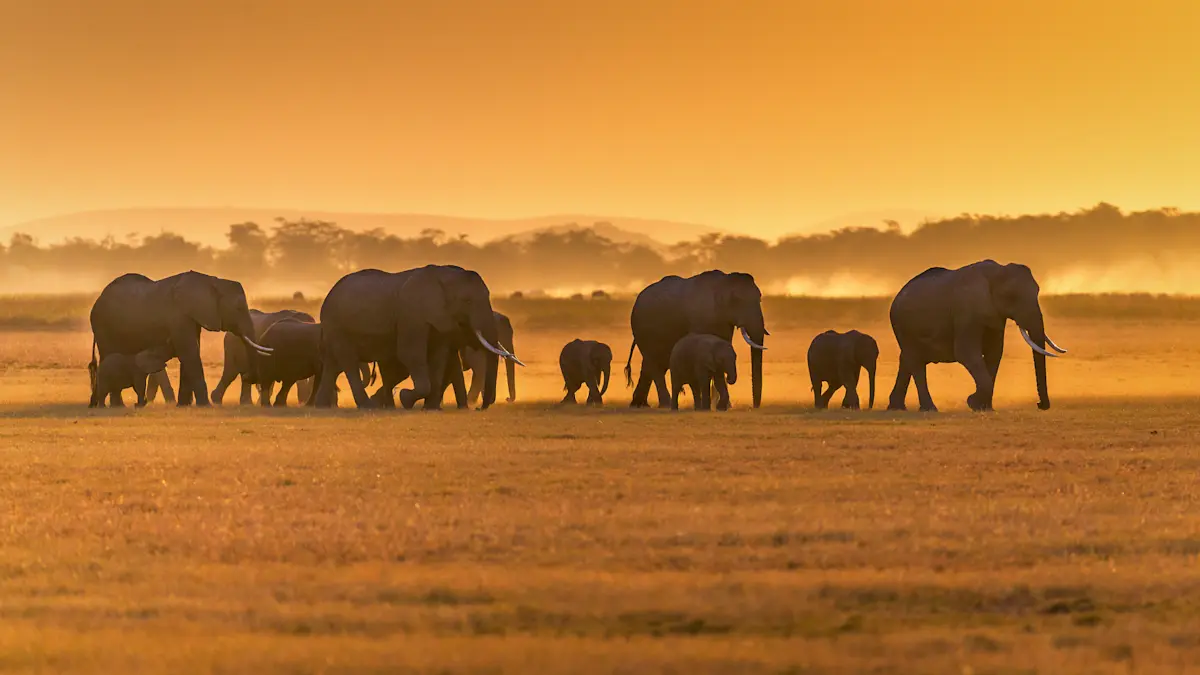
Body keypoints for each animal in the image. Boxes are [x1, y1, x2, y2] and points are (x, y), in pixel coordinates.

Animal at [89, 271, 273, 407]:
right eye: (239, 308)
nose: (250, 376)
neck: (211, 281)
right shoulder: (179, 316)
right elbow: (189, 353)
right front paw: (204, 405)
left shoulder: (192, 317)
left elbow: (191, 351)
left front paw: (184, 405)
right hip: (103, 326)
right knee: (108, 356)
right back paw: (116, 405)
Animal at [314, 265, 522, 410]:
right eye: (468, 301)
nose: (479, 408)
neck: (444, 276)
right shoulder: (412, 314)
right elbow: (411, 354)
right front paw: (406, 399)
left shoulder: (439, 320)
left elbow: (438, 358)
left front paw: (430, 408)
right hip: (336, 325)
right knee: (348, 361)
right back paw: (367, 406)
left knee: (333, 364)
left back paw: (322, 406)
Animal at [625, 270, 767, 409]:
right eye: (736, 300)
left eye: (760, 299)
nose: (754, 406)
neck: (723, 282)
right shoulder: (701, 318)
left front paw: (724, 405)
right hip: (642, 329)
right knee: (654, 364)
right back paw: (664, 404)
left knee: (652, 364)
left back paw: (639, 404)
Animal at [887, 259, 1068, 412]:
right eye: (1011, 296)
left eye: (1037, 292)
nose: (1040, 404)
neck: (996, 272)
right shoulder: (966, 313)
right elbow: (966, 353)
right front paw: (972, 402)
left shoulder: (995, 317)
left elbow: (994, 354)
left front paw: (984, 408)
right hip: (903, 325)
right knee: (916, 363)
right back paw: (929, 409)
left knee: (907, 360)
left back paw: (896, 407)